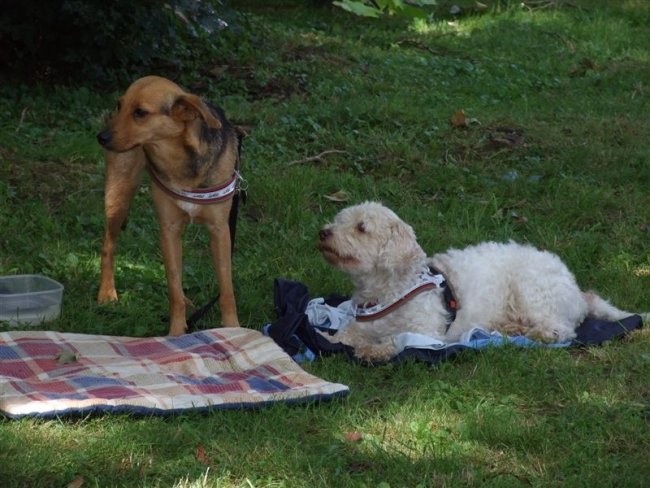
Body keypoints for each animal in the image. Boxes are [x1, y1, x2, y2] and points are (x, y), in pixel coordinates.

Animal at [95, 75, 239, 336]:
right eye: (120, 105)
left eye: (140, 112)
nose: (101, 137)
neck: (177, 158)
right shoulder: (169, 228)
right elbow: (173, 289)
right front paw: (176, 333)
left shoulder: (220, 230)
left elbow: (226, 288)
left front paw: (233, 329)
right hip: (118, 194)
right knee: (108, 246)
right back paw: (107, 293)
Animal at [316, 199, 632, 362]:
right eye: (339, 220)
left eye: (362, 228)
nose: (323, 232)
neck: (390, 288)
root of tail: (577, 290)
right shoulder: (363, 324)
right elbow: (344, 334)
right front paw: (327, 338)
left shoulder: (427, 330)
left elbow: (400, 339)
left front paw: (375, 349)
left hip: (531, 289)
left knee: (560, 331)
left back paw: (533, 333)